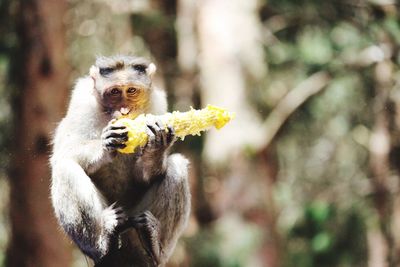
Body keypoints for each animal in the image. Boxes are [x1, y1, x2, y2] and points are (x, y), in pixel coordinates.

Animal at [49, 55, 191, 266]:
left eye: (131, 91)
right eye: (114, 92)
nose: (124, 111)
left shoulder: (157, 106)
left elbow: (145, 176)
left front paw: (156, 145)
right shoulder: (82, 103)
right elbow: (63, 152)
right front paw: (106, 145)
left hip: (136, 220)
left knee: (177, 167)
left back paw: (154, 243)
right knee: (65, 167)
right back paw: (102, 240)